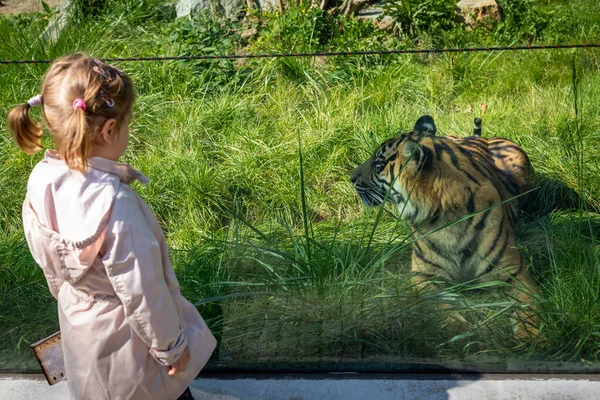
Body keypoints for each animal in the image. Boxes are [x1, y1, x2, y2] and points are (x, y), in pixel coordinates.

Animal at [350, 115, 540, 338]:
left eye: (379, 164)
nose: (351, 178)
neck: (446, 216)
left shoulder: (513, 273)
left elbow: (529, 310)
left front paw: (533, 339)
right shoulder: (425, 276)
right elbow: (443, 311)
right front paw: (464, 333)